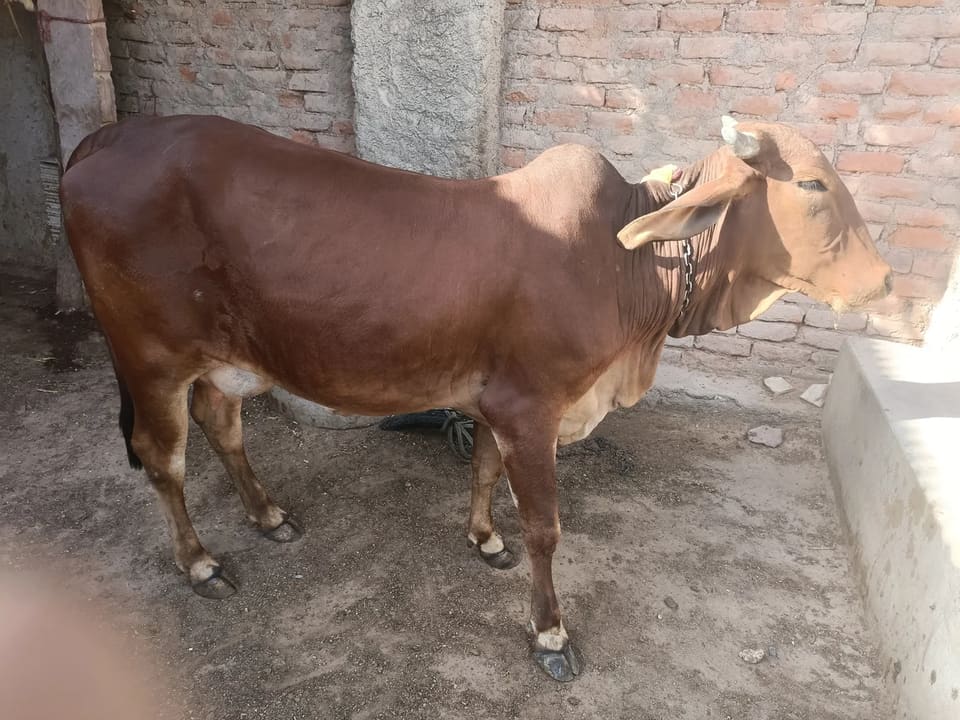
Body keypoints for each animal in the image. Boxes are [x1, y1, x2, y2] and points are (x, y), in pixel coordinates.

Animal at [60, 114, 891, 682]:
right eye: (811, 184)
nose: (886, 281)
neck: (631, 267)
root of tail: (105, 136)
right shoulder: (532, 410)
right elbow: (547, 530)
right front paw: (551, 634)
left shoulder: (502, 402)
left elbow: (484, 470)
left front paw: (484, 540)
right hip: (150, 358)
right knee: (162, 458)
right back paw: (200, 563)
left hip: (221, 358)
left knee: (222, 422)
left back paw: (269, 516)